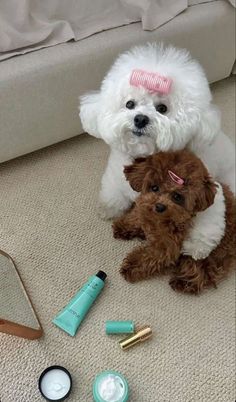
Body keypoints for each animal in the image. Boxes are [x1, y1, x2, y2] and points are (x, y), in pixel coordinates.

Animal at [80, 44, 235, 258]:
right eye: (129, 104)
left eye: (162, 108)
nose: (140, 119)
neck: (144, 158)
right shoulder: (115, 176)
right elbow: (112, 192)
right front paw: (107, 209)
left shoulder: (208, 193)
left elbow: (209, 221)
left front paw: (196, 247)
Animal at [113, 149, 235, 294]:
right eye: (154, 188)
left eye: (177, 196)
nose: (159, 206)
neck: (161, 219)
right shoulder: (145, 209)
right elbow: (138, 216)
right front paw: (124, 226)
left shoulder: (167, 246)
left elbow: (150, 256)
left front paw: (132, 267)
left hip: (206, 251)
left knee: (203, 270)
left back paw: (185, 282)